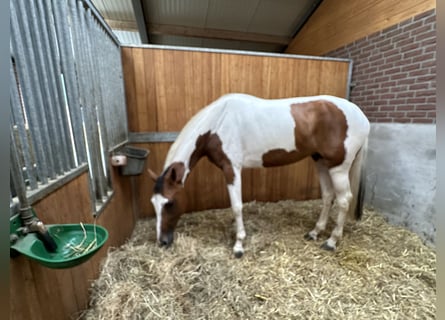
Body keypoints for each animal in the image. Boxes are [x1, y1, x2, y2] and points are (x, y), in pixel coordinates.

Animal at [147, 92, 370, 258]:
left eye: (170, 203)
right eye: (154, 204)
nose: (162, 242)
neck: (218, 123)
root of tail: (362, 117)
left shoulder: (232, 168)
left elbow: (237, 206)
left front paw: (238, 245)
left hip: (338, 168)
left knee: (344, 200)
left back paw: (331, 241)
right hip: (321, 162)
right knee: (327, 196)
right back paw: (315, 232)